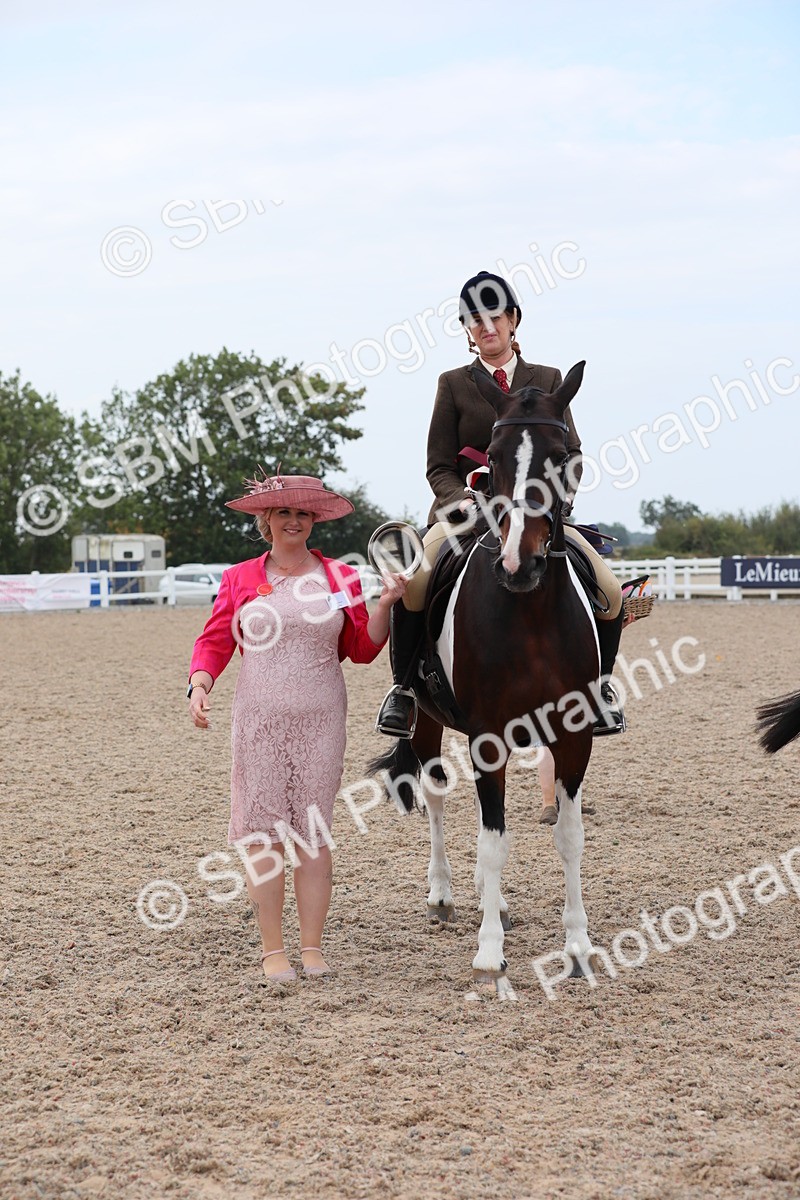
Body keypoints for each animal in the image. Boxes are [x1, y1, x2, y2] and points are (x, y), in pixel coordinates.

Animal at [370, 361, 602, 998]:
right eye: (492, 458)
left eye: (563, 454)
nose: (518, 565)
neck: (530, 614)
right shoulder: (488, 737)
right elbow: (493, 840)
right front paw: (489, 955)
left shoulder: (576, 736)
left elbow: (568, 837)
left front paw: (578, 948)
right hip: (426, 723)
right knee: (437, 796)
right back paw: (446, 896)